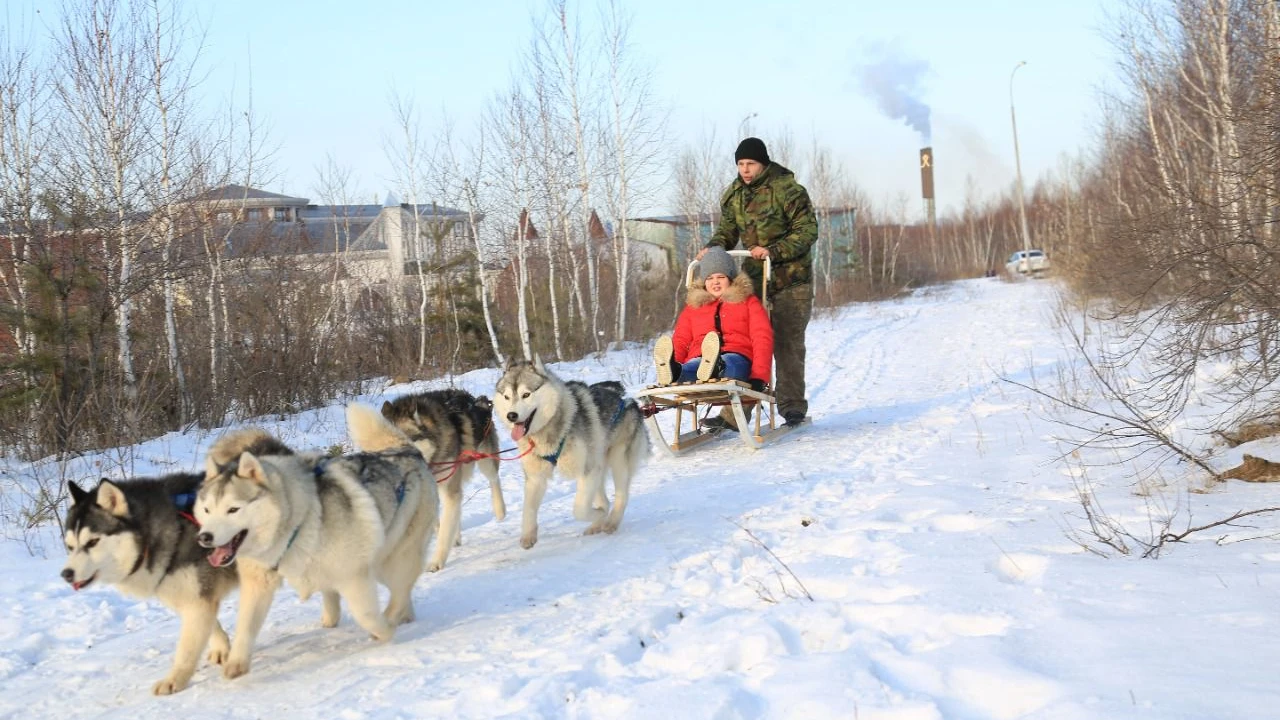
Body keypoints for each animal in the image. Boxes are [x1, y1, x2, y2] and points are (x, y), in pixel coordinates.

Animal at [60, 471, 275, 691]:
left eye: (92, 542)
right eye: (70, 546)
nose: (66, 574)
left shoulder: (197, 599)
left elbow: (186, 649)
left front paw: (174, 679)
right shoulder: (191, 596)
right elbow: (211, 626)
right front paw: (221, 648)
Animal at [194, 404, 440, 655]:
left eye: (233, 509)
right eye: (207, 510)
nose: (205, 537)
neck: (297, 519)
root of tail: (406, 450)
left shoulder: (353, 575)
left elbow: (366, 614)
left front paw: (384, 630)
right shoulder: (258, 580)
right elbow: (246, 625)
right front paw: (235, 661)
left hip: (392, 559)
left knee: (401, 587)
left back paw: (396, 616)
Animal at [378, 389, 504, 568]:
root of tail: (475, 399)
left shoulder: (450, 489)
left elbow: (444, 531)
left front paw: (437, 561)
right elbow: (439, 523)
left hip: (485, 460)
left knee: (494, 479)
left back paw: (500, 509)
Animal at [491, 356, 650, 545]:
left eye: (526, 394)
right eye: (507, 397)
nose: (511, 416)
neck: (550, 430)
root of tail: (625, 399)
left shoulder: (587, 470)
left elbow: (579, 509)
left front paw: (599, 514)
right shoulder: (536, 477)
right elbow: (528, 509)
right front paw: (528, 535)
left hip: (617, 460)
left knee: (621, 496)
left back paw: (610, 522)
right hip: (599, 464)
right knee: (604, 499)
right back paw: (597, 524)